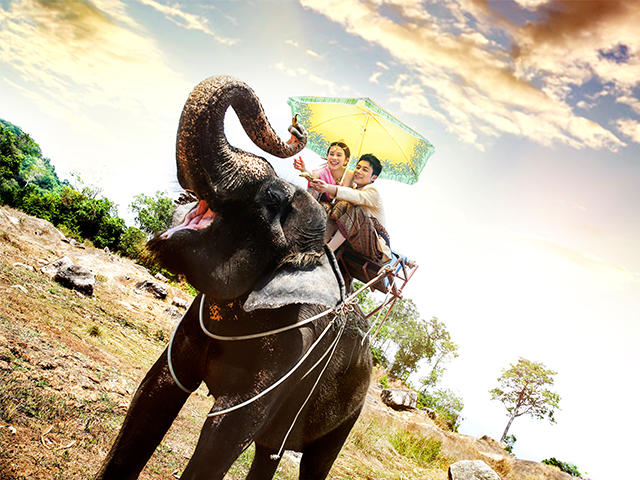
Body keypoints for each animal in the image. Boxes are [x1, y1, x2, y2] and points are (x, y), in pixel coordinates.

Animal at [97, 77, 372, 478]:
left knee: (316, 461)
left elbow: (226, 431)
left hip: (353, 406)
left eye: (272, 199)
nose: (295, 125)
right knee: (269, 451)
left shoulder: (296, 347)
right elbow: (155, 390)